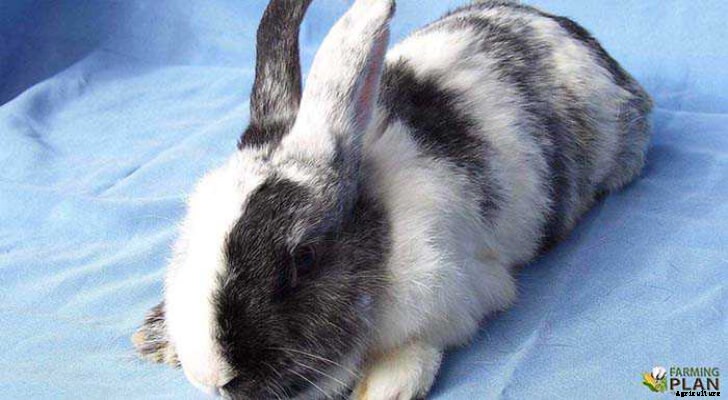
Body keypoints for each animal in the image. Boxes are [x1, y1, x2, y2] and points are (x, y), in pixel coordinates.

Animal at [132, 0, 652, 399]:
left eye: (304, 258)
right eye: (190, 234)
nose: (212, 375)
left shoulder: (468, 289)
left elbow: (425, 341)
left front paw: (386, 386)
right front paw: (154, 338)